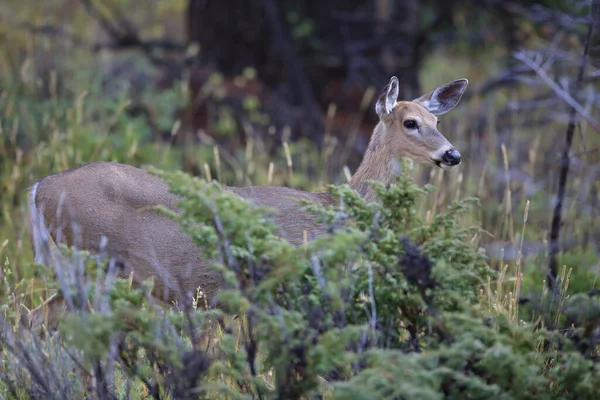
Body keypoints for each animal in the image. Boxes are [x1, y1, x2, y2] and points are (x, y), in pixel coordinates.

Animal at [27, 76, 468, 330]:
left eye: (437, 121)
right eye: (410, 123)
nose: (452, 154)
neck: (334, 211)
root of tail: (38, 189)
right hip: (87, 259)